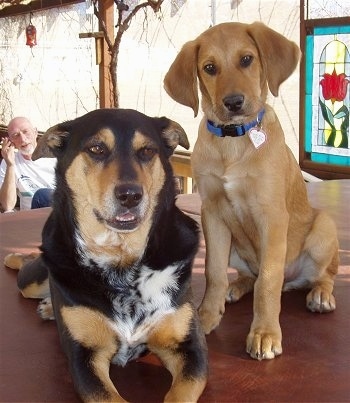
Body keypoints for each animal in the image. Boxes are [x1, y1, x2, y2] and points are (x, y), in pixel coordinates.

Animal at [4, 109, 208, 402]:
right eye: (96, 149)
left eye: (147, 151)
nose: (131, 195)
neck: (121, 263)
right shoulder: (84, 359)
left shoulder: (191, 348)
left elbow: (179, 395)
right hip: (31, 282)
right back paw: (16, 260)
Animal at [164, 23, 340, 362]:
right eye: (209, 68)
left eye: (247, 59)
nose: (233, 102)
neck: (233, 140)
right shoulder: (212, 213)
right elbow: (214, 272)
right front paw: (206, 316)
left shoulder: (271, 216)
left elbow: (268, 282)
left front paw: (265, 334)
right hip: (235, 244)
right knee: (250, 277)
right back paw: (237, 287)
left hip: (324, 227)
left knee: (323, 275)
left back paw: (320, 295)